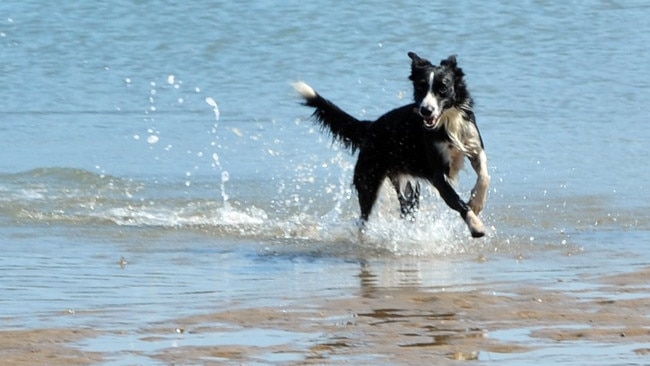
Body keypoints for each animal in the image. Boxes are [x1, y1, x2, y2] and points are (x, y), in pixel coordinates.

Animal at [292, 51, 488, 237]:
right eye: (420, 87)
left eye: (443, 88)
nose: (425, 110)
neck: (448, 121)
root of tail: (371, 126)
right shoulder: (438, 174)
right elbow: (456, 200)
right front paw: (475, 225)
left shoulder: (474, 146)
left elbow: (485, 176)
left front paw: (476, 203)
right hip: (369, 180)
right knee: (363, 219)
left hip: (405, 184)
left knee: (406, 209)